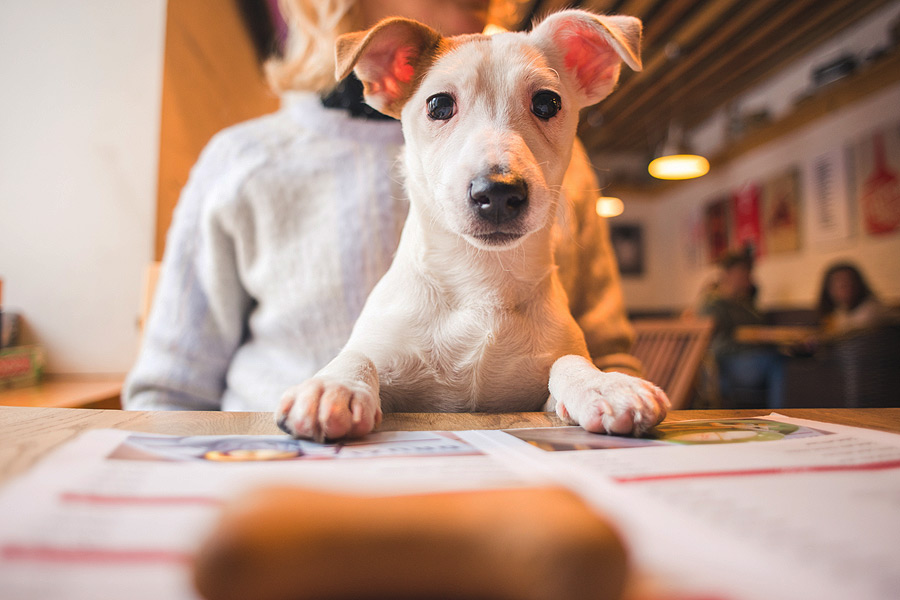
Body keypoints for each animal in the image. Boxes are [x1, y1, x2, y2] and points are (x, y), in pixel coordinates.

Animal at [280, 8, 668, 440]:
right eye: (438, 105)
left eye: (547, 102)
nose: (497, 192)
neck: (481, 280)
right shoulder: (392, 366)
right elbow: (358, 356)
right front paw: (334, 385)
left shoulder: (543, 384)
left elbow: (568, 362)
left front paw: (603, 384)